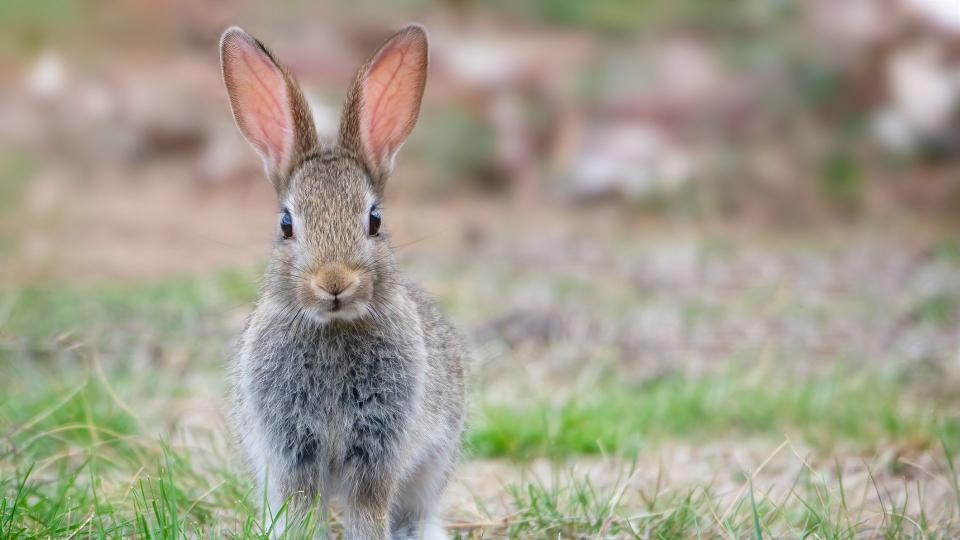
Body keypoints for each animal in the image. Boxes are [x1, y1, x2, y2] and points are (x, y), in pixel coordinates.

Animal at [221, 23, 468, 536]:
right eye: (286, 225)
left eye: (374, 220)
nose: (334, 282)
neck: (334, 328)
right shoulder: (292, 452)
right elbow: (299, 510)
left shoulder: (378, 450)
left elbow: (368, 511)